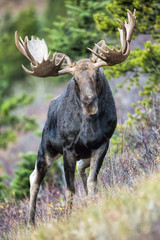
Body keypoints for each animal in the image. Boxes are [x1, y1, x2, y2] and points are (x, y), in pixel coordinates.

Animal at [14, 7, 136, 225]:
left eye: (96, 75)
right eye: (75, 79)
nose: (89, 102)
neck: (89, 126)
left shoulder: (103, 143)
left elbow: (92, 180)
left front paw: (93, 202)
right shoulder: (68, 148)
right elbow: (69, 189)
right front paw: (68, 216)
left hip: (81, 153)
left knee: (80, 168)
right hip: (46, 149)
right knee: (34, 177)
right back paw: (30, 221)